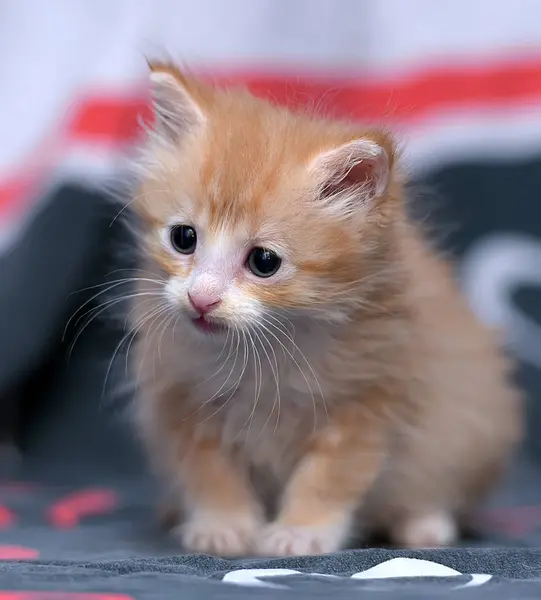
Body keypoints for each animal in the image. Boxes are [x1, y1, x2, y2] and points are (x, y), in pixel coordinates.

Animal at [129, 62, 520, 556]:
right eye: (183, 238)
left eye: (264, 262)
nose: (201, 299)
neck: (262, 356)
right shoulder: (181, 397)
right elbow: (209, 471)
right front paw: (224, 525)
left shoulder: (370, 404)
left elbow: (328, 478)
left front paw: (300, 531)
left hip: (471, 427)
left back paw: (423, 524)